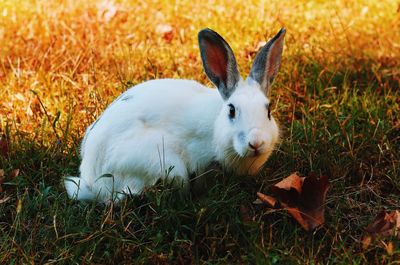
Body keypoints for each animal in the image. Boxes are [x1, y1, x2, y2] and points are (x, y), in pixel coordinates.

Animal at [64, 27, 286, 200]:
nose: (256, 142)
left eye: (268, 110)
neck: (216, 126)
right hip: (164, 163)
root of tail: (93, 181)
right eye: (231, 110)